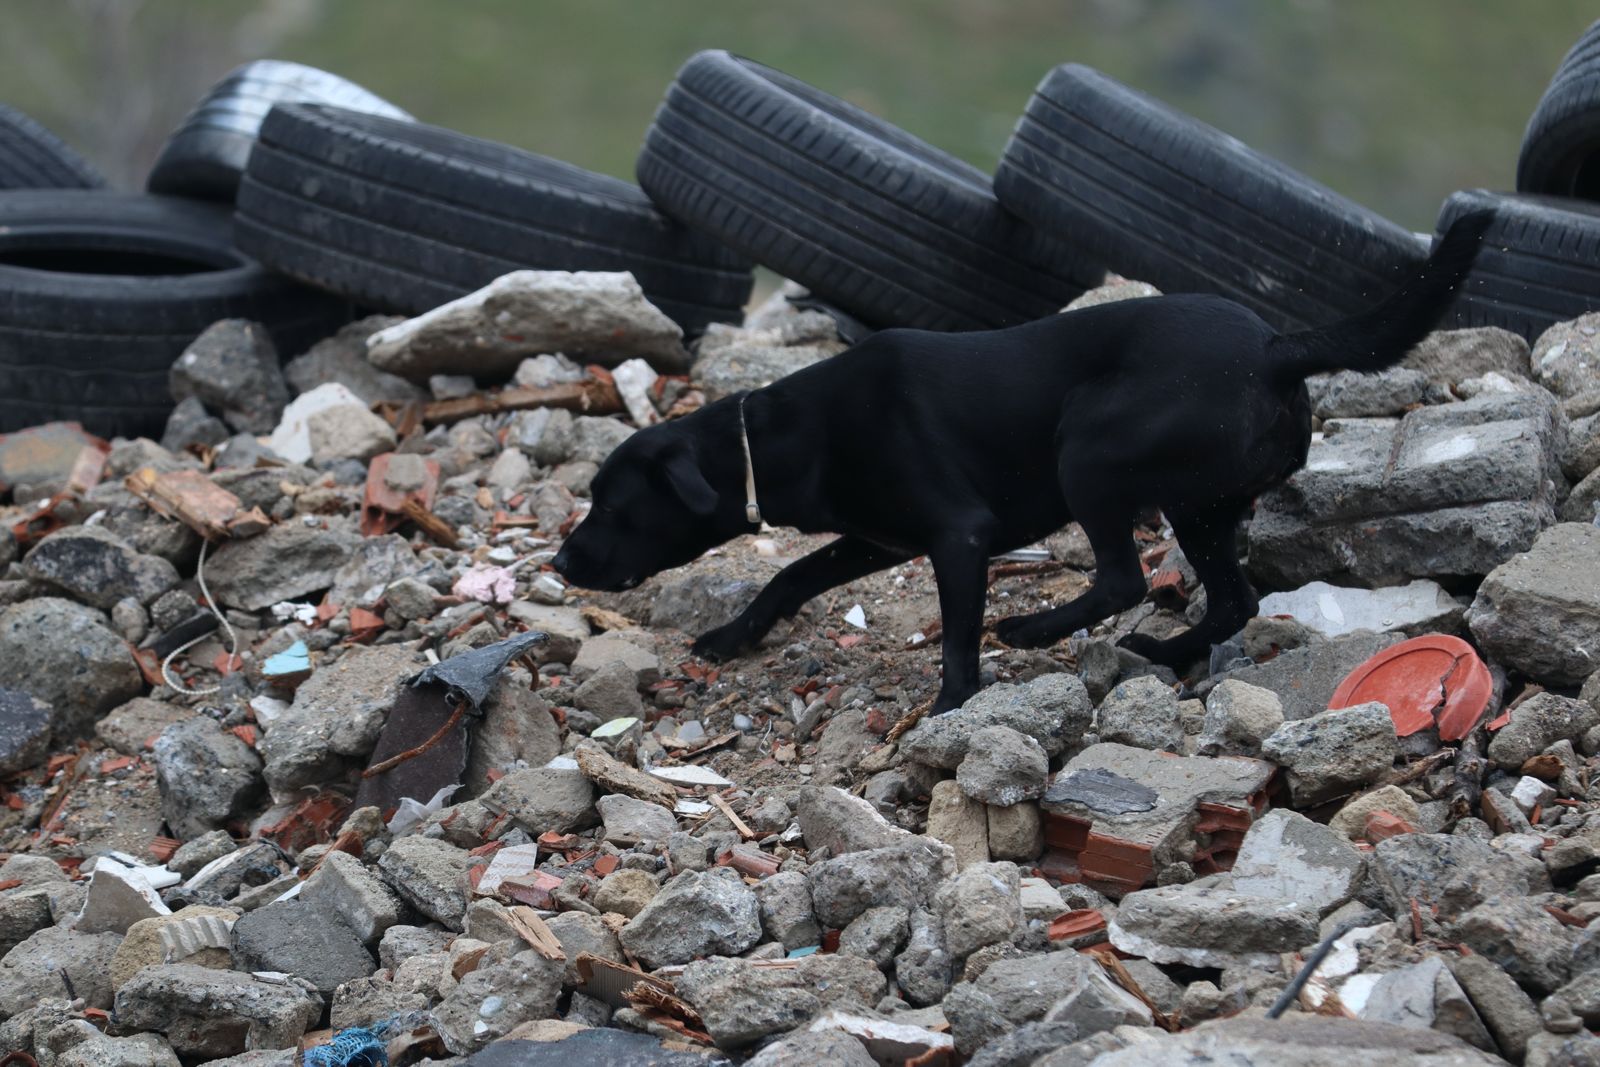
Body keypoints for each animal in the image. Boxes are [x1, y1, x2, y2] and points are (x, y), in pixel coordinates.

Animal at [556, 212, 1491, 713]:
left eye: (611, 502)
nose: (561, 563)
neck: (777, 433)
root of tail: (1275, 348)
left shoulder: (957, 536)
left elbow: (957, 634)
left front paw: (950, 704)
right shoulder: (878, 538)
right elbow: (788, 577)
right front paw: (731, 635)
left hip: (1092, 453)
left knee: (1119, 577)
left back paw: (1036, 629)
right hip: (1204, 505)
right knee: (1233, 598)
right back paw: (1165, 653)